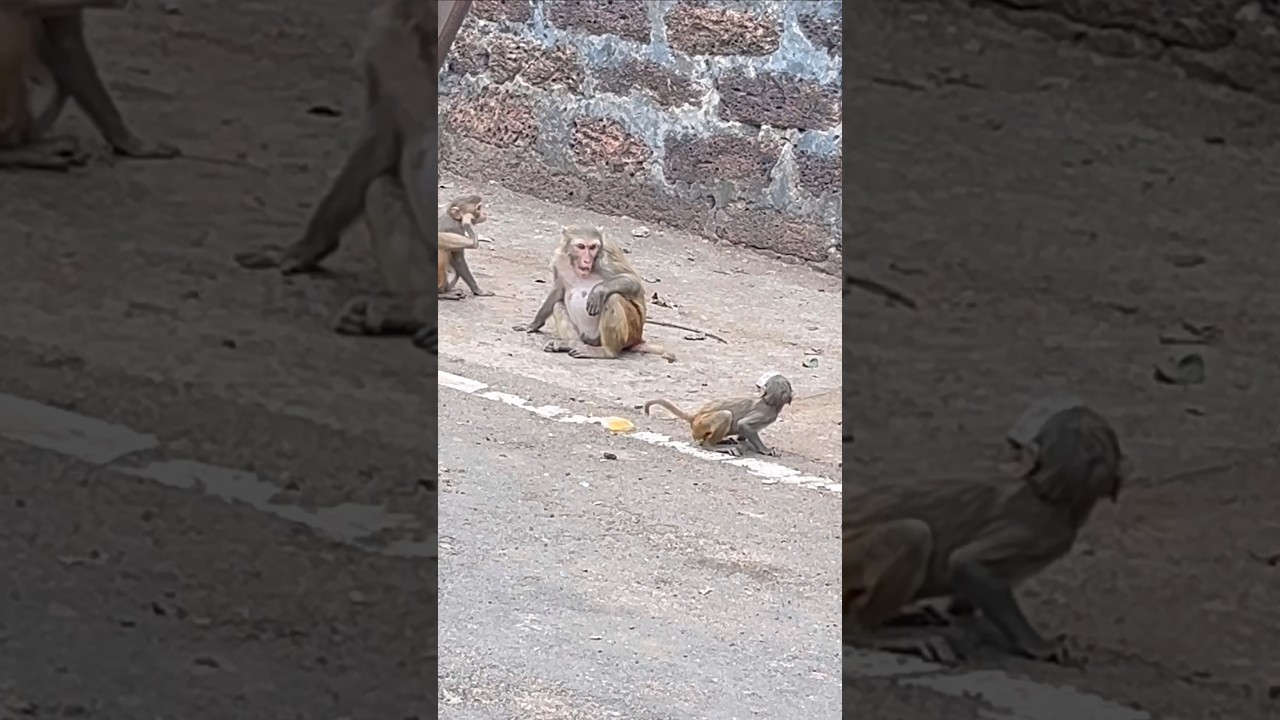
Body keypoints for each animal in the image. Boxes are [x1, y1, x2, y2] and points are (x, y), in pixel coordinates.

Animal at [512, 225, 675, 362]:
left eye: (593, 247)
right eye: (581, 246)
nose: (587, 260)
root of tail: (638, 339)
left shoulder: (607, 256)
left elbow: (634, 282)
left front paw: (598, 291)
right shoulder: (559, 260)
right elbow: (558, 291)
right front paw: (533, 324)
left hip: (630, 332)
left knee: (613, 298)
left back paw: (607, 352)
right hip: (585, 335)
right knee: (558, 305)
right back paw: (571, 344)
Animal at [643, 374, 792, 456]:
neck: (769, 402)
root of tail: (695, 417)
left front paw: (744, 442)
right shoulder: (767, 414)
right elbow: (743, 424)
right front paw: (765, 450)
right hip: (701, 424)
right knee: (726, 415)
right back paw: (712, 446)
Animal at [842, 405, 1128, 665]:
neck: (1049, 494)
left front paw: (963, 616)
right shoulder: (1043, 534)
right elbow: (966, 563)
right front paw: (1038, 646)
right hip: (850, 557)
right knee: (914, 533)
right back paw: (865, 631)